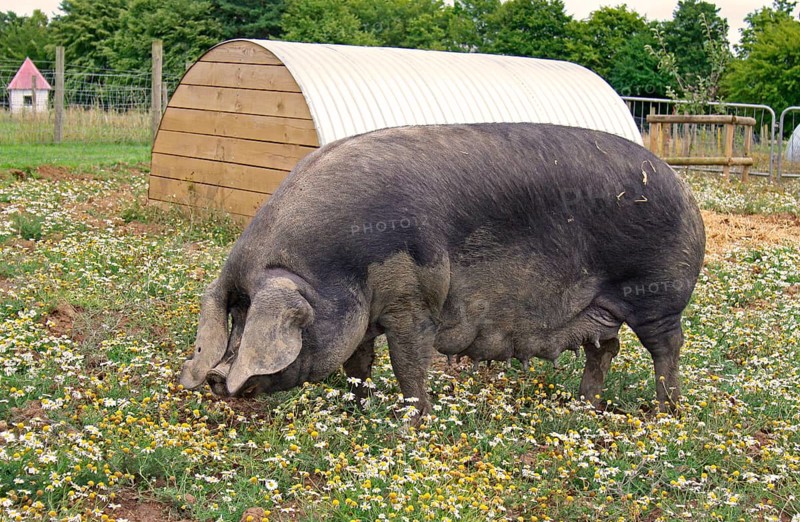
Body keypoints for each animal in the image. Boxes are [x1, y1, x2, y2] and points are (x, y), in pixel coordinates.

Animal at [178, 122, 705, 418]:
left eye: (254, 318)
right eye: (235, 315)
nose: (216, 378)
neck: (332, 267)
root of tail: (685, 189)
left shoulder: (412, 303)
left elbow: (409, 365)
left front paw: (413, 424)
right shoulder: (363, 317)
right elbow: (357, 366)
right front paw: (355, 411)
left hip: (657, 294)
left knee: (666, 348)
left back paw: (665, 413)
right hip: (598, 308)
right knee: (606, 347)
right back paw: (585, 406)